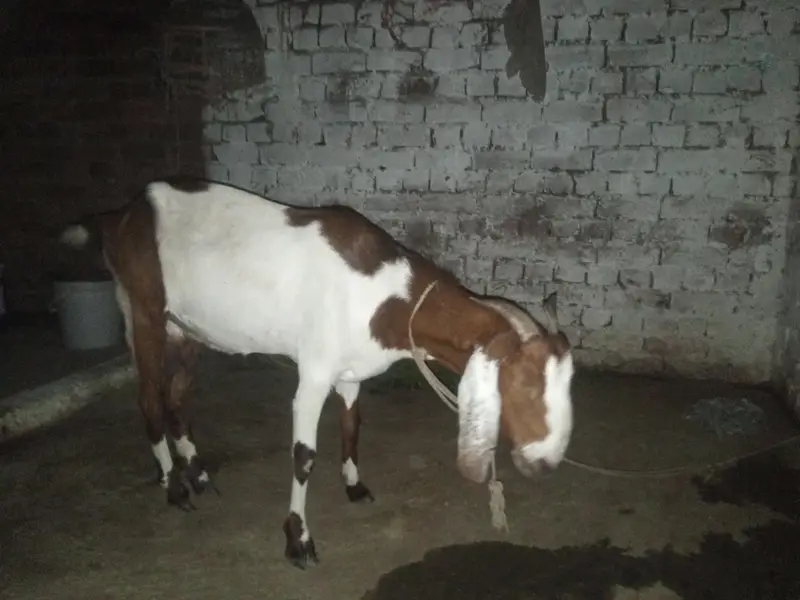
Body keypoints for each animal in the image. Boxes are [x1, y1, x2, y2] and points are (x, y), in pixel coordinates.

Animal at [59, 178, 575, 569]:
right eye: (524, 384)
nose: (547, 463)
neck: (387, 296)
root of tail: (122, 215)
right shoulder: (313, 371)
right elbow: (304, 456)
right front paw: (298, 540)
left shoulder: (350, 368)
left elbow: (352, 426)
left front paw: (354, 486)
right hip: (143, 312)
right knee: (149, 396)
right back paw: (173, 487)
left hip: (185, 329)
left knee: (178, 395)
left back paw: (199, 474)